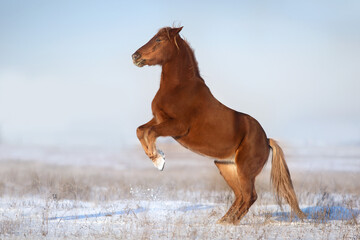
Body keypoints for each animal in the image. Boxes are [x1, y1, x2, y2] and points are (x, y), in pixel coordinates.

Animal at [131, 26, 306, 225]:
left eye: (159, 39)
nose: (135, 56)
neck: (179, 88)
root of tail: (267, 140)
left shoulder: (178, 126)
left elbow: (150, 132)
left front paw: (159, 161)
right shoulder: (159, 120)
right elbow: (140, 130)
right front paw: (158, 156)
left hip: (245, 170)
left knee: (250, 196)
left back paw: (231, 223)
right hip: (226, 167)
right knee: (240, 195)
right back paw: (223, 221)